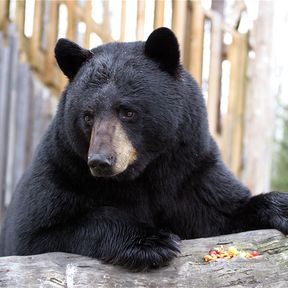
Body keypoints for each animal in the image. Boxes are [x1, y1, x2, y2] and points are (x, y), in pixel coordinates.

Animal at [0, 27, 288, 270]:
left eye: (128, 111)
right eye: (88, 116)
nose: (100, 161)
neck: (142, 172)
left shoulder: (190, 171)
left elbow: (223, 211)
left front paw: (280, 207)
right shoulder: (63, 169)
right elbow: (39, 232)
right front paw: (151, 242)